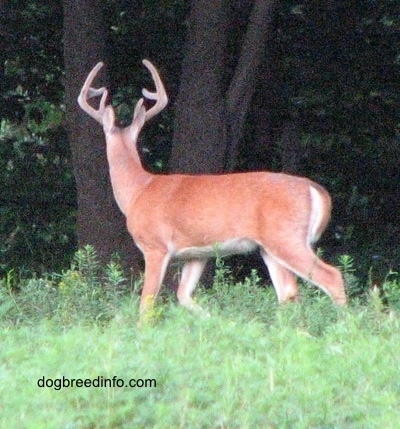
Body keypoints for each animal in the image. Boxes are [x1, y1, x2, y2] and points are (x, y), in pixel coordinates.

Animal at [78, 60, 346, 320]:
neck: (138, 190)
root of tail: (315, 189)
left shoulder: (155, 245)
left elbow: (147, 304)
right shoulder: (196, 253)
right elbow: (183, 295)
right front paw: (218, 323)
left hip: (286, 237)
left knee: (332, 277)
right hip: (270, 247)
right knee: (289, 293)